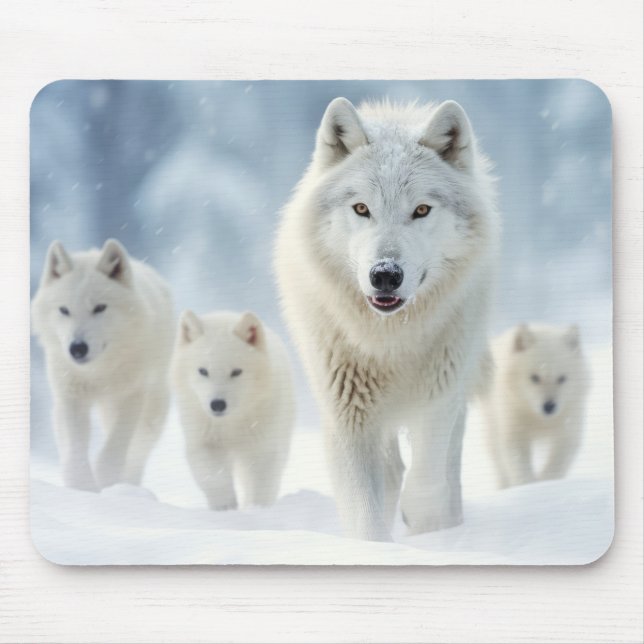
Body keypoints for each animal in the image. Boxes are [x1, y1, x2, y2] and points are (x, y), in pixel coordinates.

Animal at [31, 239, 174, 491]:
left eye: (99, 308)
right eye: (64, 310)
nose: (77, 348)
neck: (98, 371)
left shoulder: (131, 396)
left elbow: (115, 447)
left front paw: (106, 480)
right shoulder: (71, 397)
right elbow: (76, 447)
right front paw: (82, 486)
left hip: (151, 414)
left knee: (136, 453)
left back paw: (128, 485)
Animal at [172, 310, 295, 510]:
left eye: (236, 372)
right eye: (203, 371)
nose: (217, 404)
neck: (230, 425)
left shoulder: (263, 448)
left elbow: (260, 487)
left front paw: (256, 510)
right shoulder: (203, 443)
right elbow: (216, 480)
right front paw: (226, 508)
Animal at [274, 97, 499, 540]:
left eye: (422, 210)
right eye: (362, 208)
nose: (385, 274)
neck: (390, 340)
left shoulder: (440, 396)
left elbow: (428, 477)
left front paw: (426, 522)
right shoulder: (346, 414)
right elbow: (366, 513)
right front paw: (378, 545)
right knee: (392, 470)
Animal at [480, 324, 590, 488]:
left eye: (562, 378)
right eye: (534, 377)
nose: (549, 406)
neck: (540, 420)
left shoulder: (569, 427)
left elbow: (559, 459)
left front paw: (545, 483)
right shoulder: (513, 425)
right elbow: (518, 460)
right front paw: (528, 485)